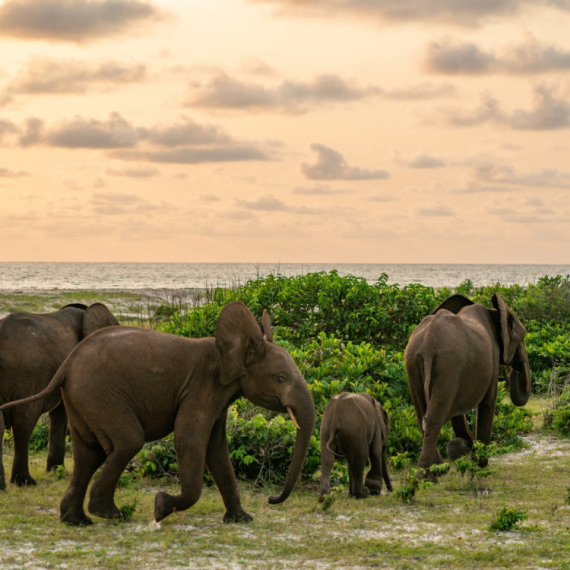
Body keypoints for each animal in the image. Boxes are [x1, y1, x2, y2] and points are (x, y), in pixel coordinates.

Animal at [404, 290, 528, 472]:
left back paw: (438, 469)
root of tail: (428, 344)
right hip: (448, 366)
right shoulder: (490, 359)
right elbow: (488, 403)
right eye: (522, 338)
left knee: (422, 416)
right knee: (434, 419)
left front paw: (464, 447)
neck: (494, 312)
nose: (514, 370)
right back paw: (430, 473)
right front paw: (480, 464)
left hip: (413, 363)